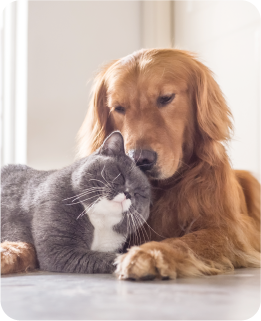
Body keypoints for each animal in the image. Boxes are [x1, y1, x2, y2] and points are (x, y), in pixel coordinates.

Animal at [0, 131, 150, 272]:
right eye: (121, 175)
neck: (100, 221)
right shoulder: (60, 250)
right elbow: (104, 258)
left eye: (140, 194)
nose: (128, 194)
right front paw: (136, 260)